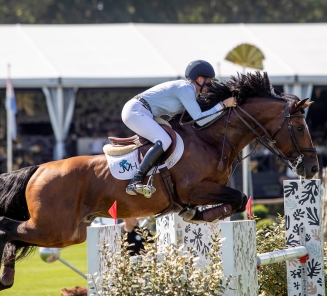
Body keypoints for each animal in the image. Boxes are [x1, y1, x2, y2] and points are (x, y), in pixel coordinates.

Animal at [0, 71, 320, 290]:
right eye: (299, 127)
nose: (313, 168)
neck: (211, 138)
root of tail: (39, 169)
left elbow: (235, 202)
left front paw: (197, 215)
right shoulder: (196, 189)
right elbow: (238, 198)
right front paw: (199, 215)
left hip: (70, 232)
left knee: (15, 231)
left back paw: (7, 276)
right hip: (54, 226)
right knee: (7, 226)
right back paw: (6, 276)